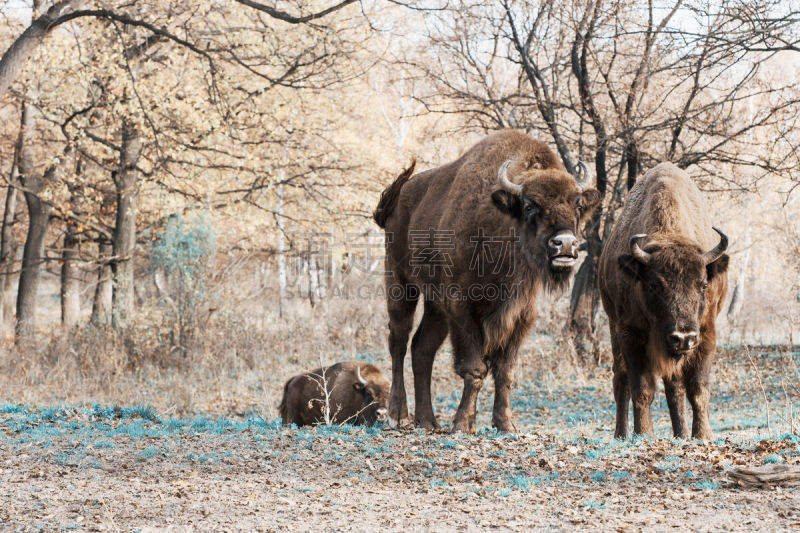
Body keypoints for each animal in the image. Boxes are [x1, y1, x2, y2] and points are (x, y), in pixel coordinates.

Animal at [376, 130, 600, 432]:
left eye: (577, 204)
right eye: (530, 205)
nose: (564, 244)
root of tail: (397, 200)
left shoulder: (521, 314)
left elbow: (505, 370)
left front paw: (506, 424)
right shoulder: (463, 308)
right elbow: (475, 367)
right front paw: (462, 424)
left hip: (435, 305)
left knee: (422, 348)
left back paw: (428, 420)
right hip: (400, 285)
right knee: (399, 342)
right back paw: (398, 415)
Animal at [596, 163, 728, 440]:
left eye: (703, 284)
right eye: (655, 285)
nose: (683, 337)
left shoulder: (706, 332)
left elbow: (697, 388)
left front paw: (702, 435)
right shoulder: (630, 333)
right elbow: (641, 388)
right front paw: (644, 433)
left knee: (674, 387)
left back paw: (681, 434)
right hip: (614, 329)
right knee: (621, 381)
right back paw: (621, 434)